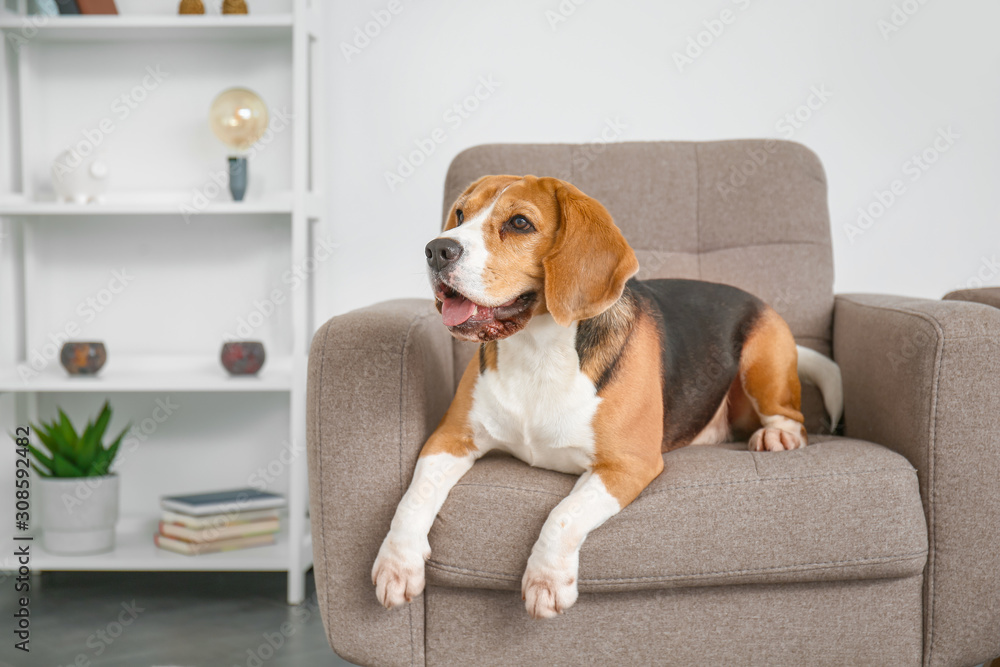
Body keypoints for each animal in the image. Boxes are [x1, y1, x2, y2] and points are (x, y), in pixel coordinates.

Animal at [372, 174, 840, 620]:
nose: (437, 250)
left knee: (789, 413)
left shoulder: (626, 465)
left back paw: (778, 435)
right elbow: (414, 496)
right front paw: (397, 564)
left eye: (519, 223)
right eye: (459, 214)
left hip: (763, 356)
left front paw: (546, 580)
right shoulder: (450, 437)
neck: (538, 351)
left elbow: (562, 514)